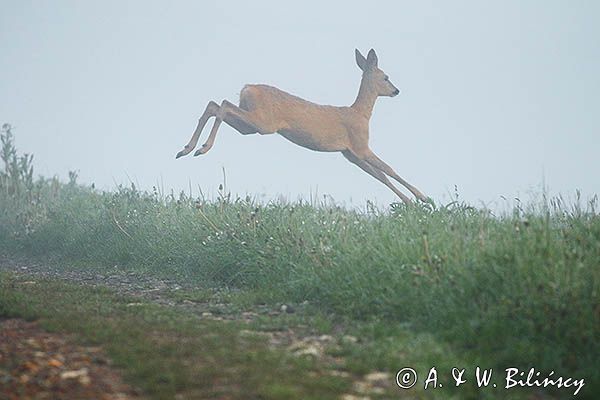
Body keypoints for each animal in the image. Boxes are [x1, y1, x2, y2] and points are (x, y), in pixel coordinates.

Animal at [176, 48, 428, 203]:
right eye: (386, 77)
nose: (396, 90)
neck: (361, 115)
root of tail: (247, 88)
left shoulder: (350, 154)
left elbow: (381, 176)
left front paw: (409, 203)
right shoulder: (360, 145)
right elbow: (390, 169)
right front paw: (423, 198)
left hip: (250, 126)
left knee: (214, 104)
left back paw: (186, 149)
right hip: (264, 122)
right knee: (223, 105)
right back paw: (202, 148)